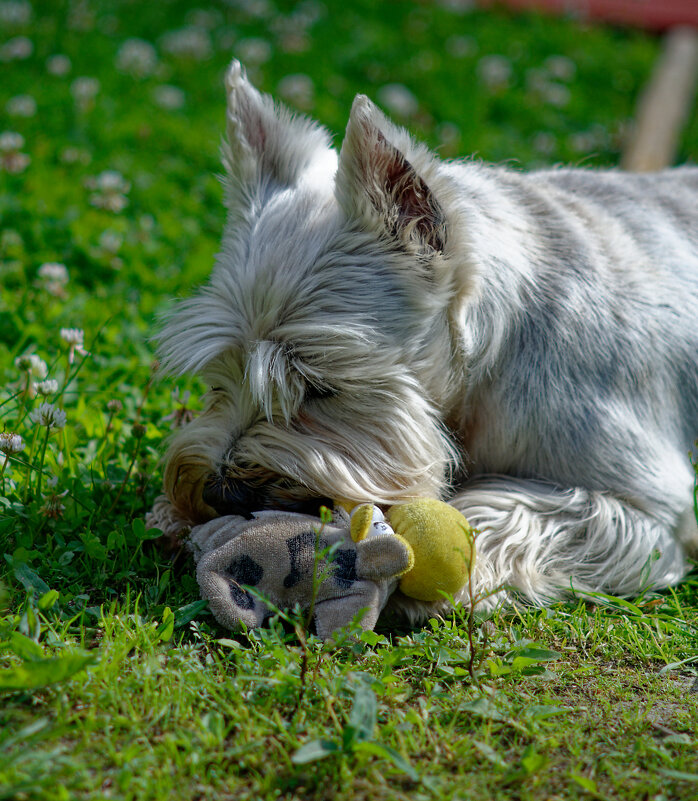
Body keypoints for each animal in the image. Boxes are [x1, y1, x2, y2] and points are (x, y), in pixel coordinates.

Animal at [155, 61, 692, 612]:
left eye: (321, 387)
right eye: (219, 378)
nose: (219, 493)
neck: (491, 357)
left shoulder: (648, 505)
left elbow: (510, 516)